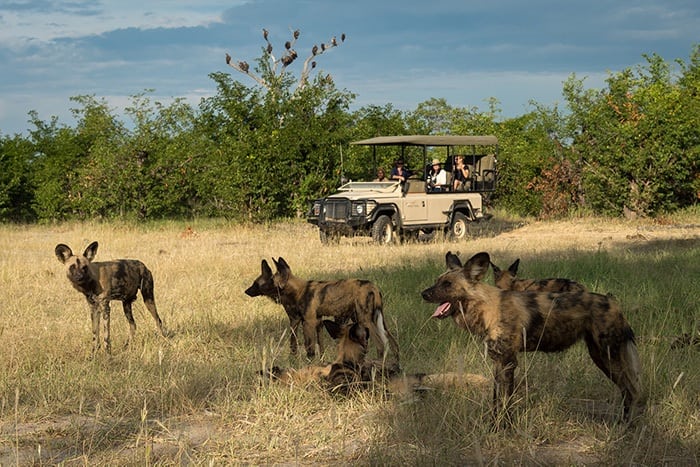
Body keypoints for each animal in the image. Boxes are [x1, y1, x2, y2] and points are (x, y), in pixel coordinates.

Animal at [245, 256, 400, 362]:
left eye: (256, 283)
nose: (246, 291)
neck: (298, 291)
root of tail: (373, 287)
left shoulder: (308, 323)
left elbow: (310, 349)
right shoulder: (311, 323)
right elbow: (312, 346)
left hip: (365, 320)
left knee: (381, 345)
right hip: (376, 321)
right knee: (393, 344)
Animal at [418, 252, 644, 420]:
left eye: (447, 284)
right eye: (437, 282)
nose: (423, 294)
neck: (486, 308)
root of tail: (613, 302)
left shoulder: (508, 362)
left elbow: (504, 403)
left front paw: (502, 429)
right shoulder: (498, 362)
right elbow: (496, 402)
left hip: (608, 357)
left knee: (632, 391)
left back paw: (627, 427)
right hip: (600, 357)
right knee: (627, 392)